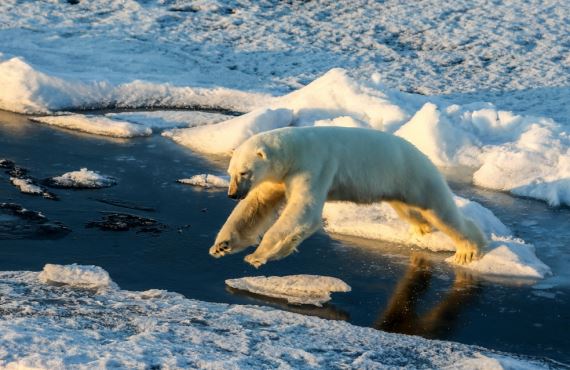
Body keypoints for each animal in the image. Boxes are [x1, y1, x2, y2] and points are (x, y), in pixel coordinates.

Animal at [209, 125, 484, 268]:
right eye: (231, 172)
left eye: (244, 172)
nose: (232, 194)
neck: (294, 151)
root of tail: (424, 156)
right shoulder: (278, 177)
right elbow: (255, 207)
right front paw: (221, 245)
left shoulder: (315, 166)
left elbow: (303, 211)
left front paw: (256, 256)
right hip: (400, 184)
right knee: (411, 210)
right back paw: (421, 228)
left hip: (416, 177)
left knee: (441, 211)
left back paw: (467, 251)